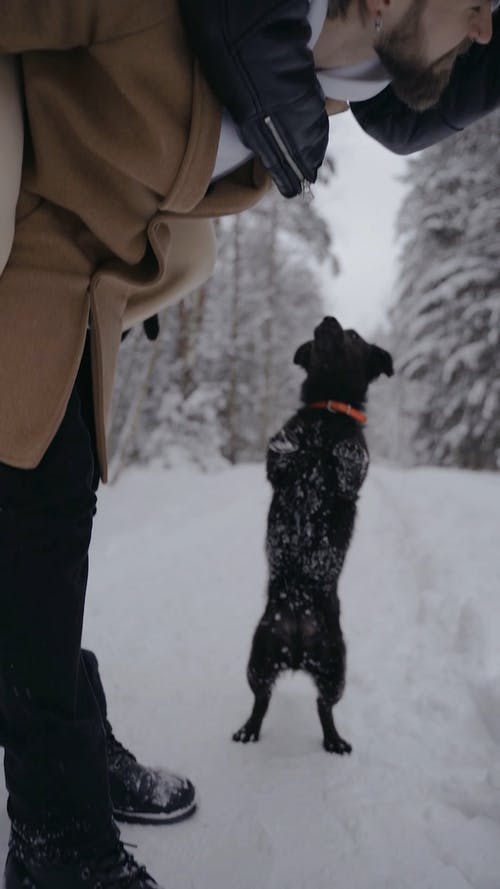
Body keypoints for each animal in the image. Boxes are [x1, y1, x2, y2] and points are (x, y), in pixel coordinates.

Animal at [234, 316, 394, 752]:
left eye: (353, 336)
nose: (327, 320)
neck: (328, 413)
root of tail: (297, 646)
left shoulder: (353, 475)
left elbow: (347, 456)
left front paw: (335, 451)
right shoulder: (278, 465)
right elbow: (286, 448)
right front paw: (295, 445)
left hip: (335, 667)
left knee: (324, 708)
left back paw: (335, 741)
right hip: (259, 658)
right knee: (262, 701)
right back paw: (248, 730)